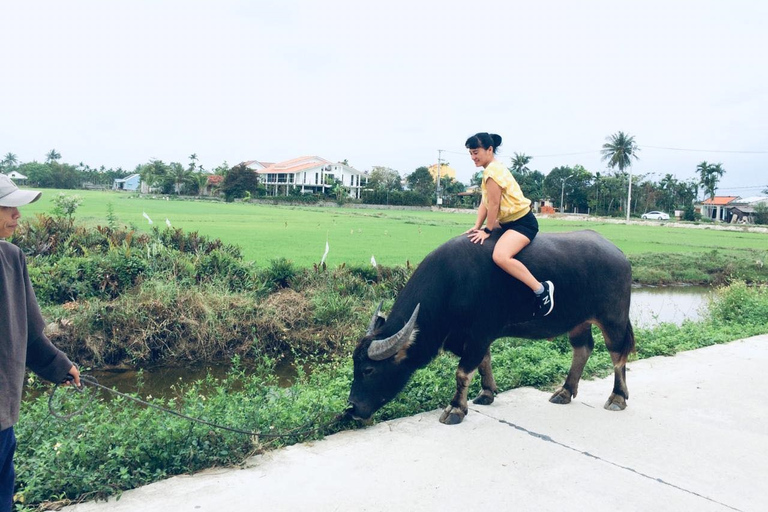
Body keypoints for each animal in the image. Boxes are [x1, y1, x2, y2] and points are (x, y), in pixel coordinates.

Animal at [350, 230, 636, 426]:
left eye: (368, 370)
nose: (351, 408)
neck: (453, 284)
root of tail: (620, 254)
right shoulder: (465, 337)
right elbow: (482, 361)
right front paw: (487, 393)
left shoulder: (479, 333)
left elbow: (463, 372)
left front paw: (455, 409)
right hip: (578, 321)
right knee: (583, 348)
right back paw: (565, 391)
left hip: (613, 318)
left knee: (617, 354)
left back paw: (617, 398)